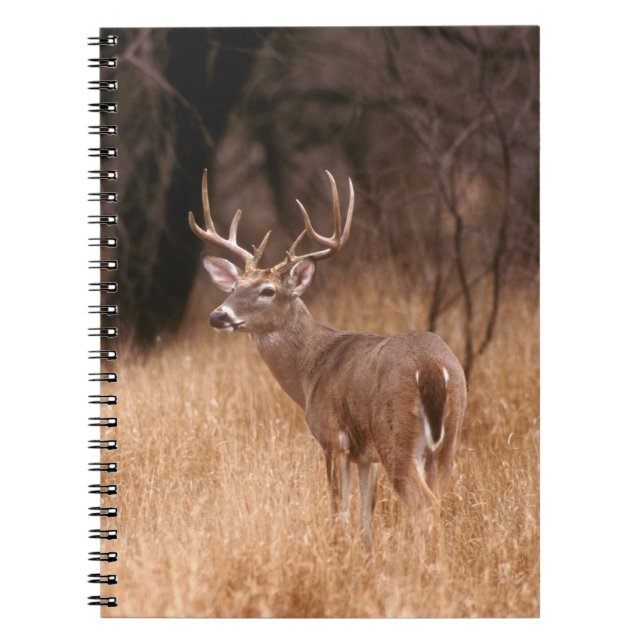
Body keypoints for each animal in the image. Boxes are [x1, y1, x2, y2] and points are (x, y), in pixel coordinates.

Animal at [189, 169, 467, 547]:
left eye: (268, 290)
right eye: (234, 287)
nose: (218, 316)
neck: (310, 370)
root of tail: (432, 367)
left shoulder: (332, 437)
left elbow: (339, 511)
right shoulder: (366, 456)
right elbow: (366, 516)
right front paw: (365, 552)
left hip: (397, 435)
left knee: (425, 508)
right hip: (448, 439)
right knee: (438, 503)